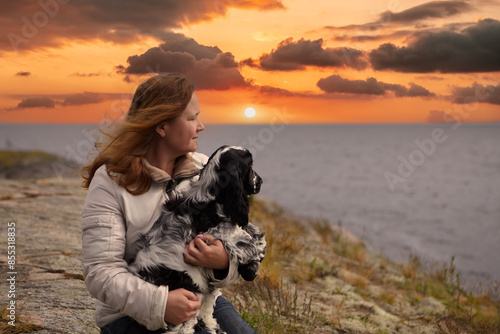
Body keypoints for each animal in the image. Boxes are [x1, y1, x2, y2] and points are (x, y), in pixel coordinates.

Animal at [131, 146, 268, 334]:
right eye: (250, 165)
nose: (260, 181)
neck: (210, 197)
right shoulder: (217, 235)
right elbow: (246, 242)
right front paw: (252, 267)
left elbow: (251, 231)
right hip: (187, 298)